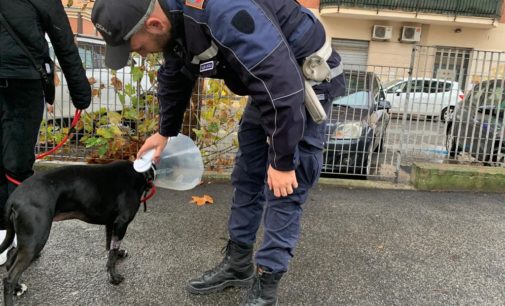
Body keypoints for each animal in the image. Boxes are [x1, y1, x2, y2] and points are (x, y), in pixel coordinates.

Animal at [0, 160, 154, 306]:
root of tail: (14, 198)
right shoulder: (122, 223)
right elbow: (113, 251)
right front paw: (114, 278)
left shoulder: (111, 223)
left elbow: (111, 248)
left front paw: (117, 257)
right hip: (36, 240)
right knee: (9, 278)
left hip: (27, 239)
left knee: (10, 259)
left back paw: (18, 288)